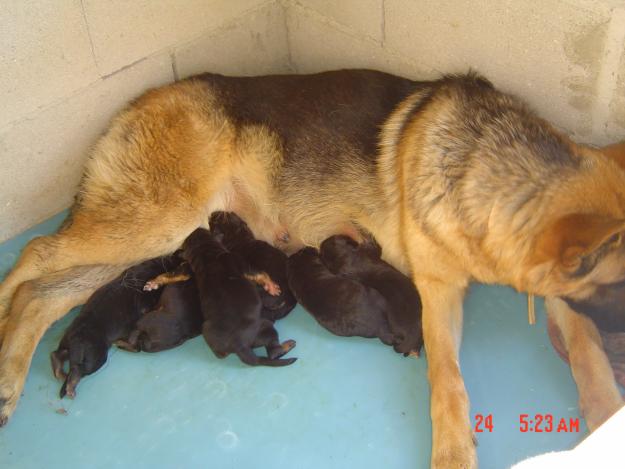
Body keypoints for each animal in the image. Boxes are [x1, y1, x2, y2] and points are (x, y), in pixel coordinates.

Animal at [50, 254, 179, 396]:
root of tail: (75, 337)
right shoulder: (146, 304)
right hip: (95, 356)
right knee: (78, 370)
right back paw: (70, 386)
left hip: (67, 343)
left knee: (57, 354)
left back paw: (60, 372)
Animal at [182, 227, 296, 366]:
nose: (197, 228)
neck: (206, 257)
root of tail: (239, 346)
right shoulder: (242, 264)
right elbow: (262, 274)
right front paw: (273, 288)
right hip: (267, 327)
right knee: (274, 352)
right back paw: (288, 345)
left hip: (206, 330)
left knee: (220, 355)